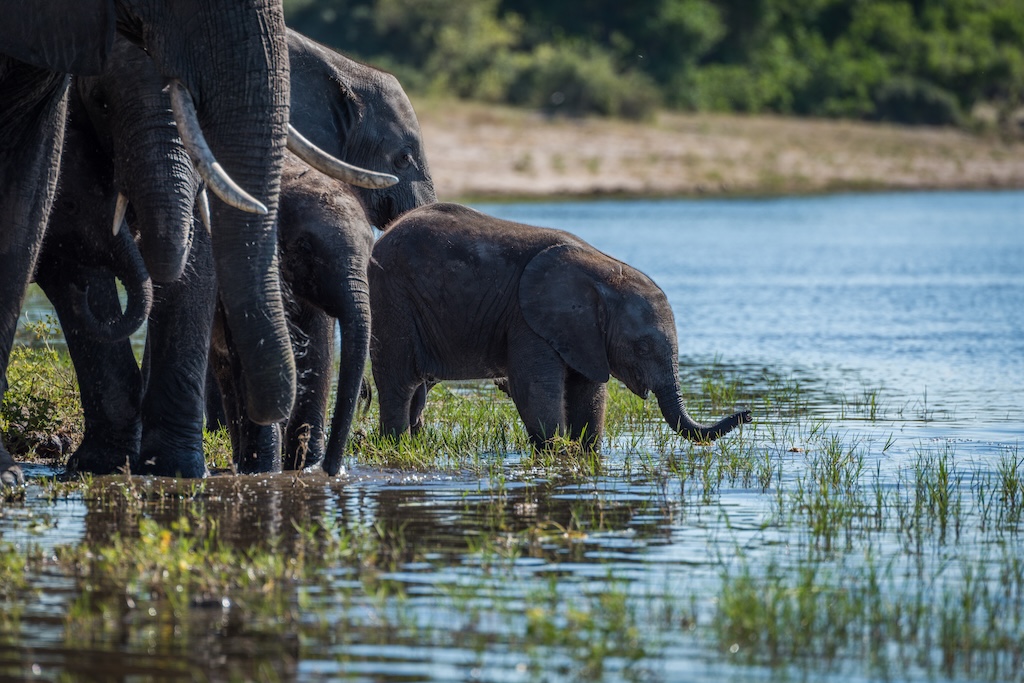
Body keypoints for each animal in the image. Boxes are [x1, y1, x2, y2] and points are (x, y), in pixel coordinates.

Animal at [369, 203, 753, 451]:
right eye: (641, 347)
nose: (748, 414)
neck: (604, 276)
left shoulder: (584, 335)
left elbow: (589, 393)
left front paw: (588, 452)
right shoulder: (528, 320)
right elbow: (535, 389)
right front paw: (555, 452)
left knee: (415, 387)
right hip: (393, 299)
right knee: (399, 380)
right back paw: (395, 445)